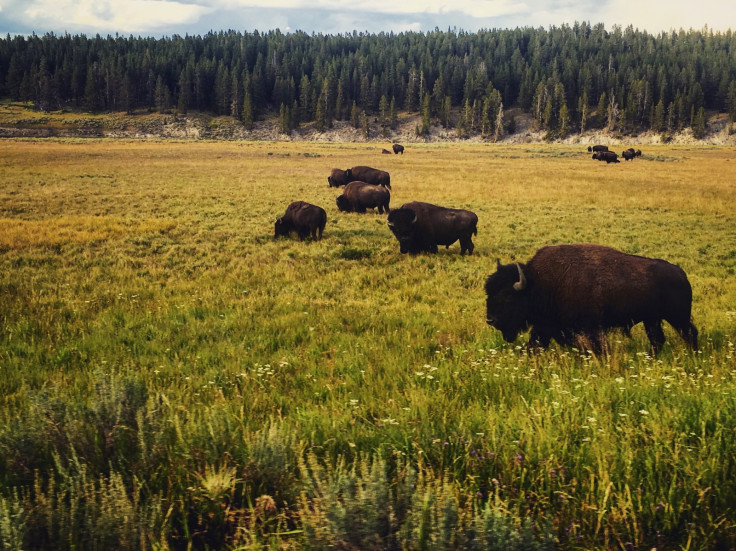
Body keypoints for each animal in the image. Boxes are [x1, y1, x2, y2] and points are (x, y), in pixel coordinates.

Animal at [486, 245, 700, 354]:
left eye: (508, 296)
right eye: (489, 292)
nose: (490, 320)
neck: (537, 283)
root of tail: (681, 273)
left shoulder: (589, 328)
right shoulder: (546, 326)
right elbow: (535, 345)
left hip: (677, 317)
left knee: (690, 334)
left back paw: (693, 356)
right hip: (652, 320)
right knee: (658, 339)